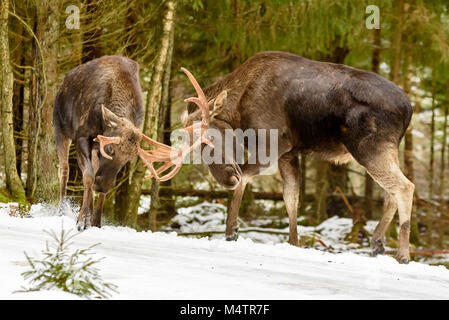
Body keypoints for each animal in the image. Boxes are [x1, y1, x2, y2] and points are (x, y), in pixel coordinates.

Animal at [53, 55, 211, 230]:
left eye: (128, 160)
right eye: (109, 148)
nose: (103, 185)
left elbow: (96, 181)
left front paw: (95, 222)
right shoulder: (82, 134)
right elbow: (88, 176)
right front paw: (82, 221)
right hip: (59, 127)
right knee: (64, 169)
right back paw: (61, 211)